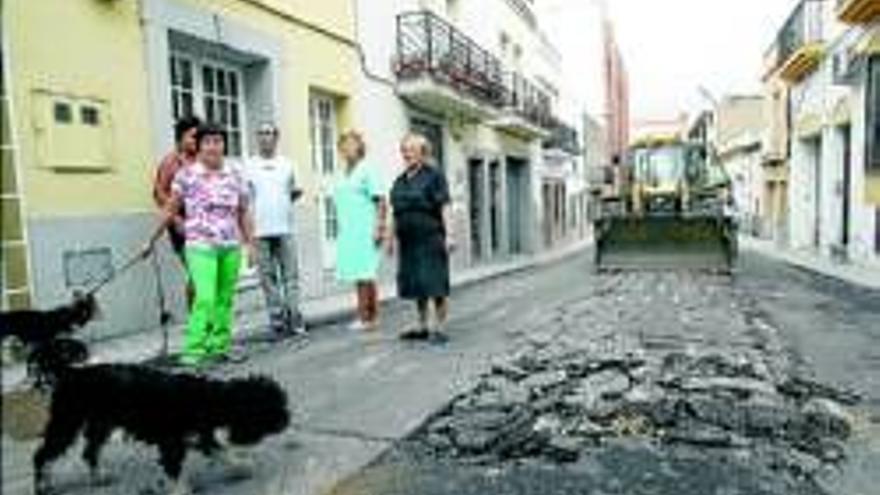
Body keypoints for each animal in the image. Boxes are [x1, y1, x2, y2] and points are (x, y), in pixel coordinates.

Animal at [34, 364, 290, 495]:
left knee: (89, 451)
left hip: (101, 423)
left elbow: (222, 452)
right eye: (272, 407)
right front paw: (180, 490)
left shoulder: (201, 435)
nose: (286, 419)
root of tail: (69, 372)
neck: (206, 399)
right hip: (67, 421)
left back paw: (98, 477)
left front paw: (241, 466)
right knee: (43, 454)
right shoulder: (171, 443)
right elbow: (174, 469)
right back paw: (43, 484)